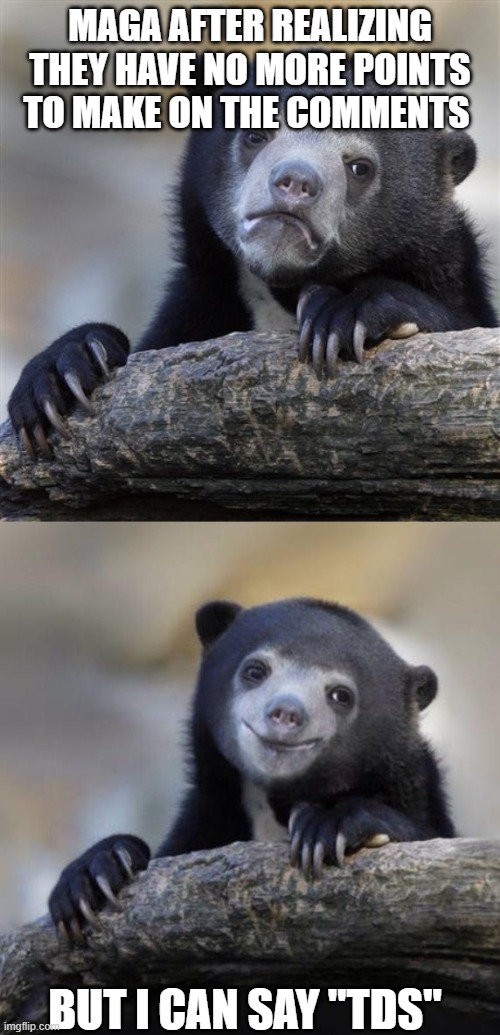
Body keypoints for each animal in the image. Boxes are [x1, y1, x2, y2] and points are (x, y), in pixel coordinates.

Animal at [8, 62, 497, 458]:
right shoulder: (202, 300)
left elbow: (461, 321)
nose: (295, 181)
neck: (279, 292)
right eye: (255, 134)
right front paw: (60, 372)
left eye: (359, 167)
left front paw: (342, 314)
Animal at [47, 597, 454, 942]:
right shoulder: (210, 815)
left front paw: (327, 826)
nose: (286, 713)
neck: (274, 804)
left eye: (341, 695)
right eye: (255, 670)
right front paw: (93, 874)